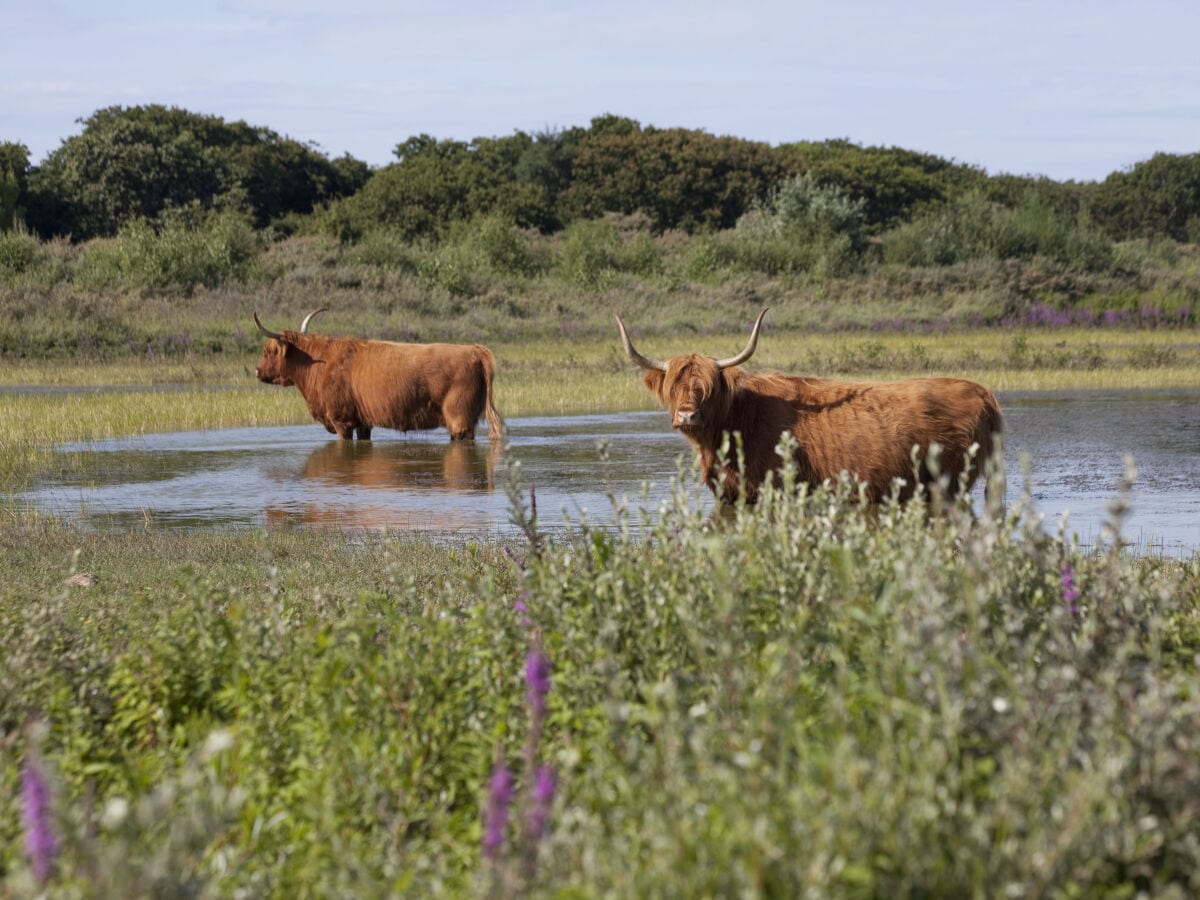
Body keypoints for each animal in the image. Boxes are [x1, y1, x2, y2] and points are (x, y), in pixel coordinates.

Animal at [255, 309, 504, 444]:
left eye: (268, 351)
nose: (257, 371)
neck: (319, 365)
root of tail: (473, 349)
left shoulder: (341, 422)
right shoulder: (363, 423)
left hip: (459, 421)